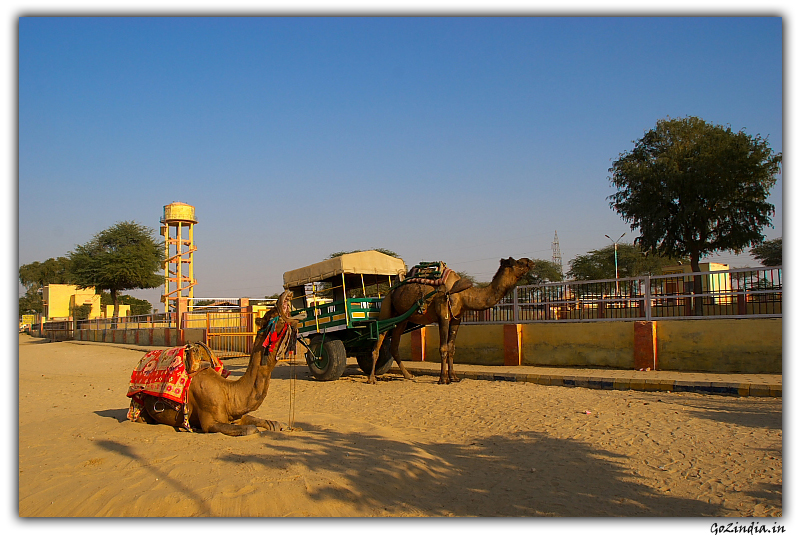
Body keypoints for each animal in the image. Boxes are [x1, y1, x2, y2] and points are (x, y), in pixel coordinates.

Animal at [133, 292, 298, 438]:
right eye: (272, 315)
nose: (286, 294)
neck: (229, 393)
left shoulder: (236, 415)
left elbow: (271, 423)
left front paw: (281, 425)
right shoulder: (210, 423)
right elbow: (251, 429)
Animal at [370, 256, 536, 386]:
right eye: (519, 262)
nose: (531, 261)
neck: (463, 294)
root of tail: (389, 292)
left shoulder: (457, 319)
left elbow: (451, 348)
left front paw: (454, 377)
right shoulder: (443, 313)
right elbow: (443, 348)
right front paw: (443, 379)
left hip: (402, 319)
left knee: (394, 345)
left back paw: (408, 375)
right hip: (387, 310)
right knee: (380, 336)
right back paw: (372, 378)